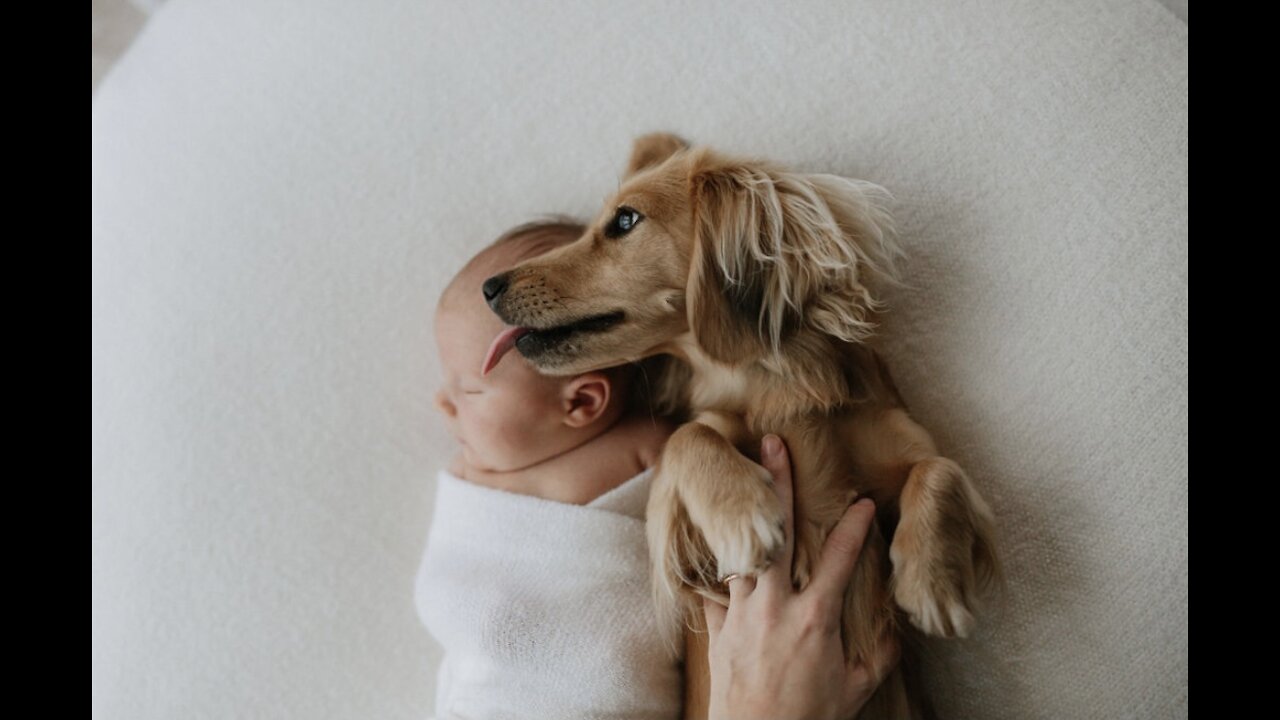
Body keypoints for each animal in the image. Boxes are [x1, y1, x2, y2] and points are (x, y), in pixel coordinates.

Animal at [481, 134, 998, 717]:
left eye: (625, 220)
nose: (489, 286)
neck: (776, 386)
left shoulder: (893, 441)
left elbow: (940, 469)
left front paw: (934, 582)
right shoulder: (690, 467)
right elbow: (688, 435)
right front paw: (745, 516)